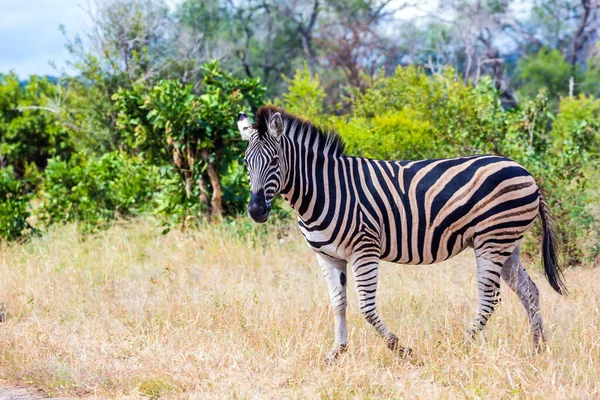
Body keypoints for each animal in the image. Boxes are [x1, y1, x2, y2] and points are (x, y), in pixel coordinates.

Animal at [236, 106, 568, 362]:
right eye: (246, 163)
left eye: (275, 162)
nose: (256, 211)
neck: (323, 189)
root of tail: (524, 171)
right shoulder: (327, 256)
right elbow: (338, 304)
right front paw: (336, 353)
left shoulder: (365, 249)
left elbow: (367, 308)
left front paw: (401, 349)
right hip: (509, 242)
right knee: (529, 290)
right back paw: (538, 348)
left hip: (491, 239)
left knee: (490, 297)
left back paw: (461, 346)